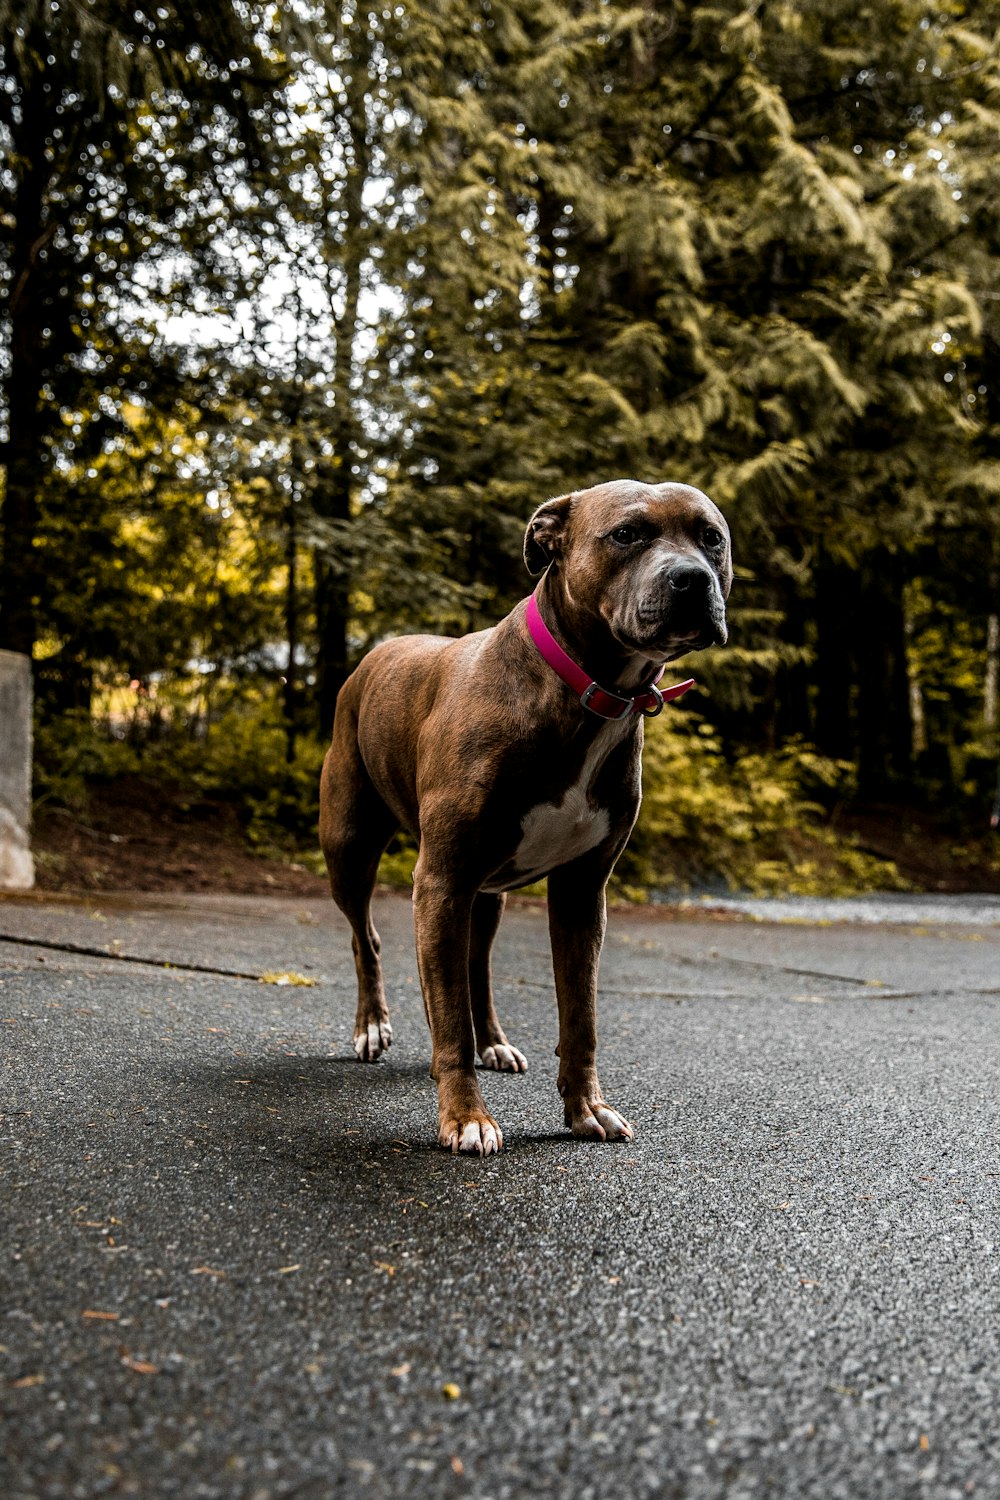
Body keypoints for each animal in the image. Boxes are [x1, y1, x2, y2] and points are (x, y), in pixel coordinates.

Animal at [322, 474, 734, 1152]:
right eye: (627, 534)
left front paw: (586, 1107)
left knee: (475, 966)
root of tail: (376, 654)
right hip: (351, 851)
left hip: (485, 891)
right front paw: (465, 1117)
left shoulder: (580, 893)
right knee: (367, 938)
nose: (691, 579)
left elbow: (580, 1014)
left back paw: (491, 1040)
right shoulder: (442, 879)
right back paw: (372, 1025)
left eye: (711, 538)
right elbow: (449, 1023)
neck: (590, 691)